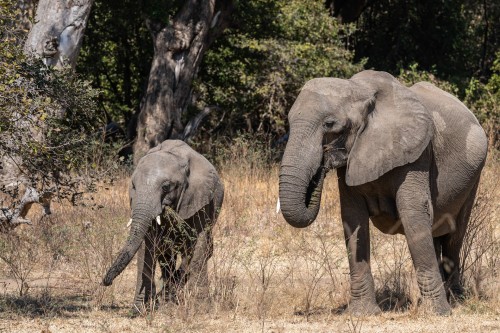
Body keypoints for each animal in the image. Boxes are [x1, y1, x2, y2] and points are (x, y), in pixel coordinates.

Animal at [102, 139, 224, 310]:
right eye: (133, 186)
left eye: (166, 187)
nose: (106, 282)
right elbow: (146, 247)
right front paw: (140, 308)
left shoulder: (200, 199)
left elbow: (199, 245)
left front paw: (202, 307)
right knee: (167, 257)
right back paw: (167, 298)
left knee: (200, 251)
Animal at [278, 69, 488, 314]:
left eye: (329, 124)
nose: (324, 161)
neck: (360, 91)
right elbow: (353, 220)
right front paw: (362, 313)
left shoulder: (417, 153)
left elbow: (413, 214)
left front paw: (438, 313)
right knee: (437, 235)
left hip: (474, 175)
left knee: (455, 236)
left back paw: (456, 298)